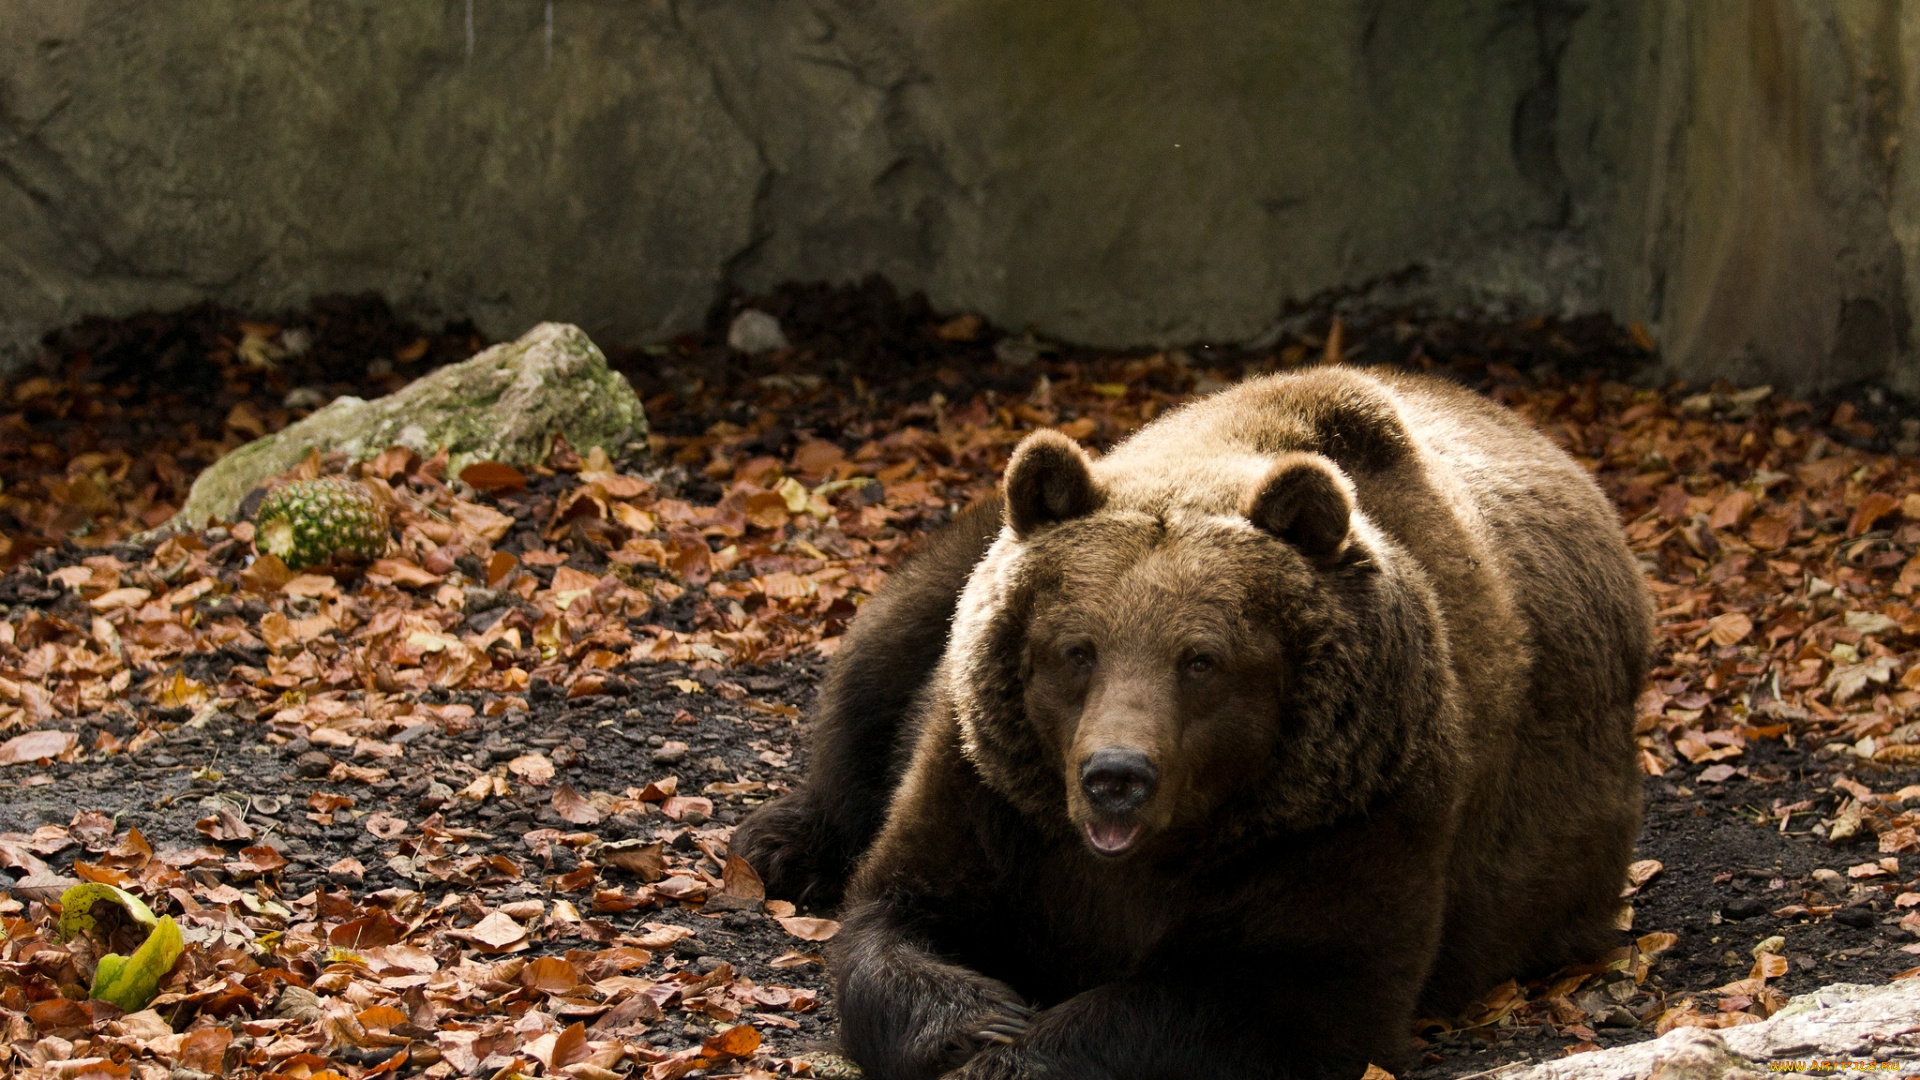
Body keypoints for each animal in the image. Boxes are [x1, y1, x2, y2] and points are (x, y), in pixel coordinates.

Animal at [733, 365, 1651, 1068]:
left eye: (1201, 660)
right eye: (1078, 649)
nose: (1115, 777)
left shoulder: (1354, 814)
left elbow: (1282, 990)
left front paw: (1026, 1051)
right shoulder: (996, 792)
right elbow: (900, 913)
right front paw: (980, 1025)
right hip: (953, 579)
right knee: (875, 668)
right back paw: (782, 844)